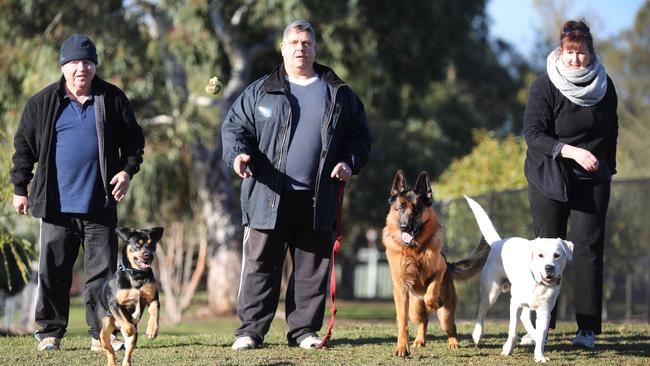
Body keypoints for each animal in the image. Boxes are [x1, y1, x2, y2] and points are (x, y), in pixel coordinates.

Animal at [98, 227, 166, 364]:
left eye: (152, 244)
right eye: (138, 244)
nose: (148, 255)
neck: (137, 275)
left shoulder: (153, 299)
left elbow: (154, 313)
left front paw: (152, 331)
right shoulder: (115, 304)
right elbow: (126, 322)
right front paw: (130, 328)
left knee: (127, 355)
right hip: (105, 327)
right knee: (109, 349)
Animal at [380, 172, 486, 358]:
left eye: (416, 209)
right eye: (400, 207)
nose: (405, 226)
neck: (414, 251)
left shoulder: (440, 270)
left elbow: (431, 292)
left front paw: (433, 303)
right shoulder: (401, 289)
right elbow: (402, 322)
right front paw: (402, 347)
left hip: (446, 313)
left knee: (451, 325)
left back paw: (453, 342)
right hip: (414, 309)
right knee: (423, 321)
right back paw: (419, 340)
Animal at [460, 196, 572, 362]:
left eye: (557, 255)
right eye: (540, 255)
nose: (549, 268)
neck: (537, 283)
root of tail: (498, 243)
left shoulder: (545, 311)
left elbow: (541, 335)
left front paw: (539, 356)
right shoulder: (515, 304)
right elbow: (512, 330)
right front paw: (507, 349)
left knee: (526, 318)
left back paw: (533, 335)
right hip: (491, 293)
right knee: (482, 310)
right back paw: (477, 334)